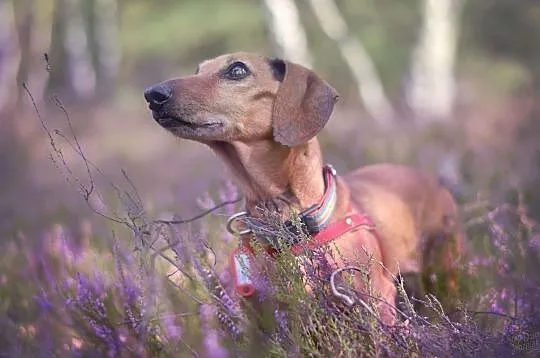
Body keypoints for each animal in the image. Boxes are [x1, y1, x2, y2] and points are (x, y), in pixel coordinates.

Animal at [143, 51, 464, 324]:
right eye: (198, 70)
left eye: (237, 70)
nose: (152, 94)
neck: (291, 224)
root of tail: (435, 181)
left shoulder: (376, 299)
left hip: (446, 271)